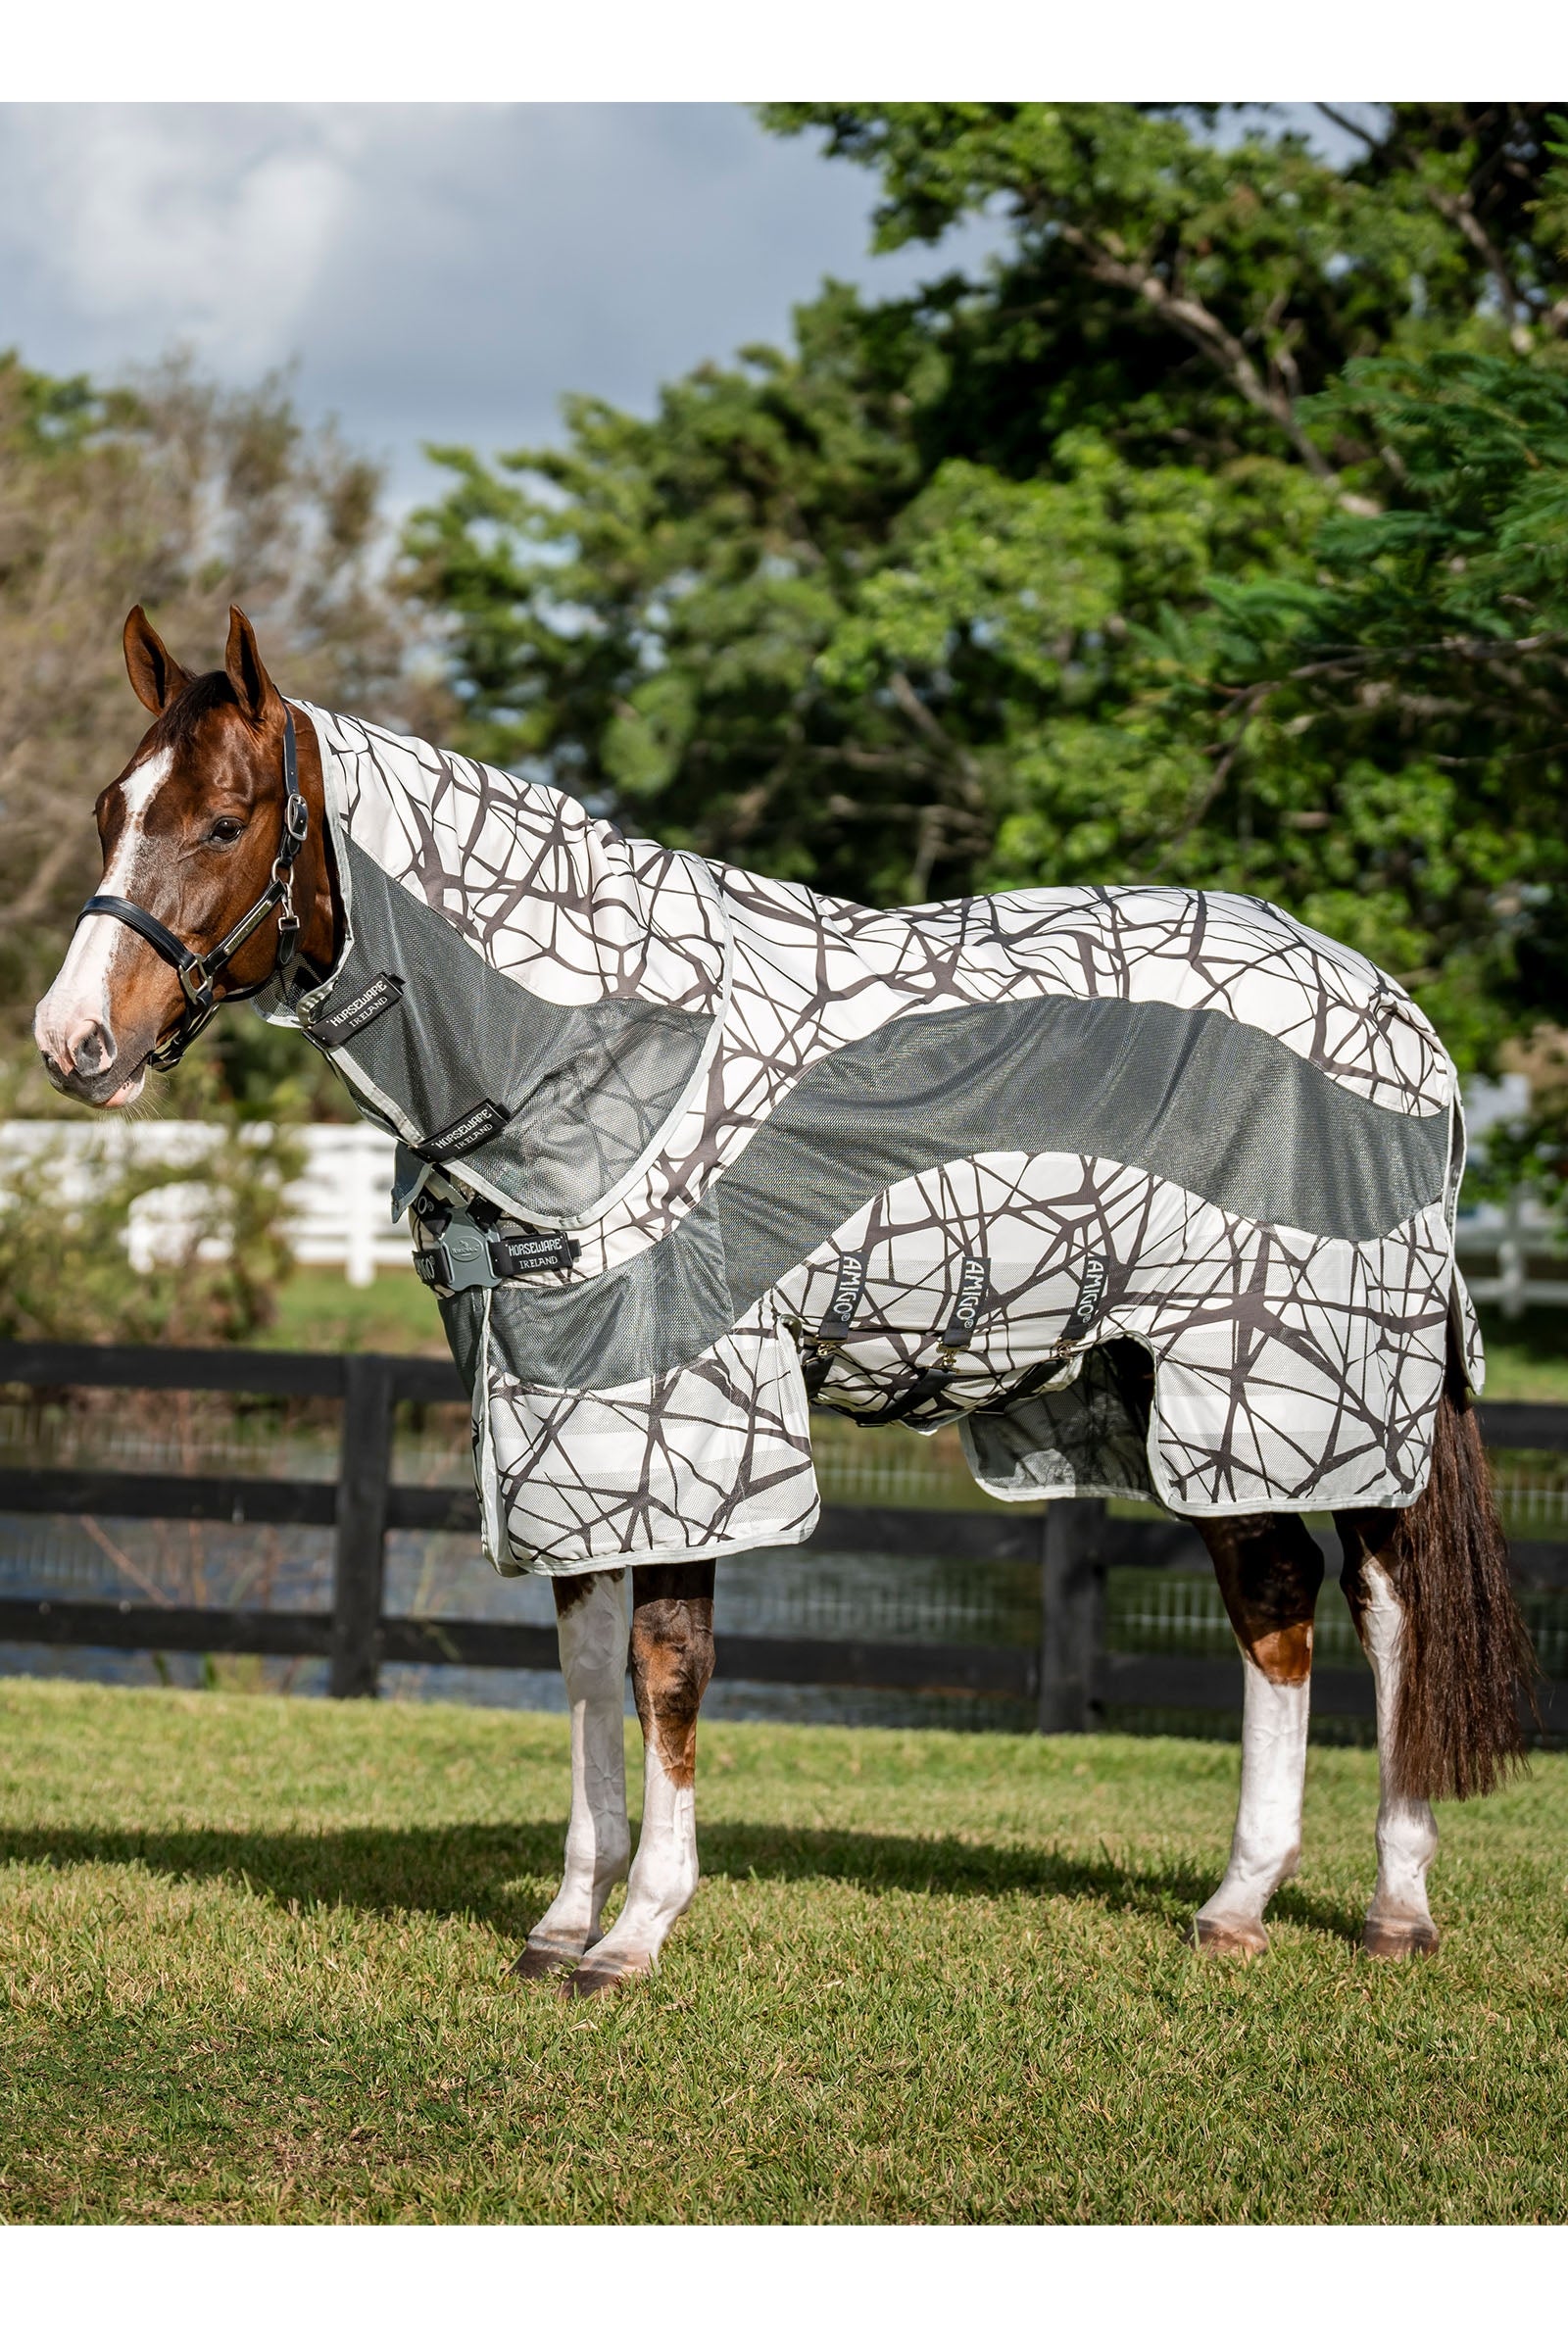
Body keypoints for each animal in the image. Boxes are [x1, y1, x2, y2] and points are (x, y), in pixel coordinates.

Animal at [34, 604, 1534, 1994]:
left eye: (225, 821)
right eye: (110, 809)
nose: (72, 1043)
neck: (586, 1050)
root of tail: (1402, 1021)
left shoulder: (681, 1407)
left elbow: (666, 1665)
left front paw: (637, 1931)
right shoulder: (556, 1412)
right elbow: (582, 1661)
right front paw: (564, 1918)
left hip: (1306, 1378)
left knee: (1387, 1604)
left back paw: (1395, 1905)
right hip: (1186, 1390)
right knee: (1272, 1597)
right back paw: (1237, 1904)